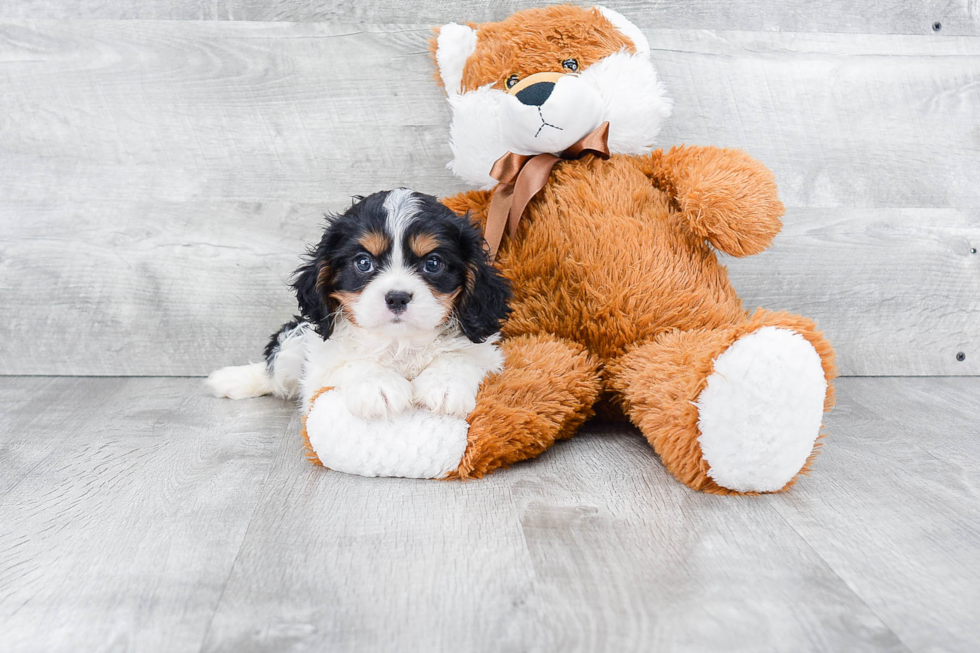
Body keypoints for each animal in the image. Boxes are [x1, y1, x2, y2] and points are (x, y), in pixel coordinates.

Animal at [210, 187, 510, 422]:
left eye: (433, 263)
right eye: (364, 263)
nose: (397, 297)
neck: (399, 343)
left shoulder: (487, 354)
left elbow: (460, 357)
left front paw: (445, 385)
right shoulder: (319, 369)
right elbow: (351, 363)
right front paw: (378, 385)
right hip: (292, 341)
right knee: (274, 370)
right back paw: (233, 379)